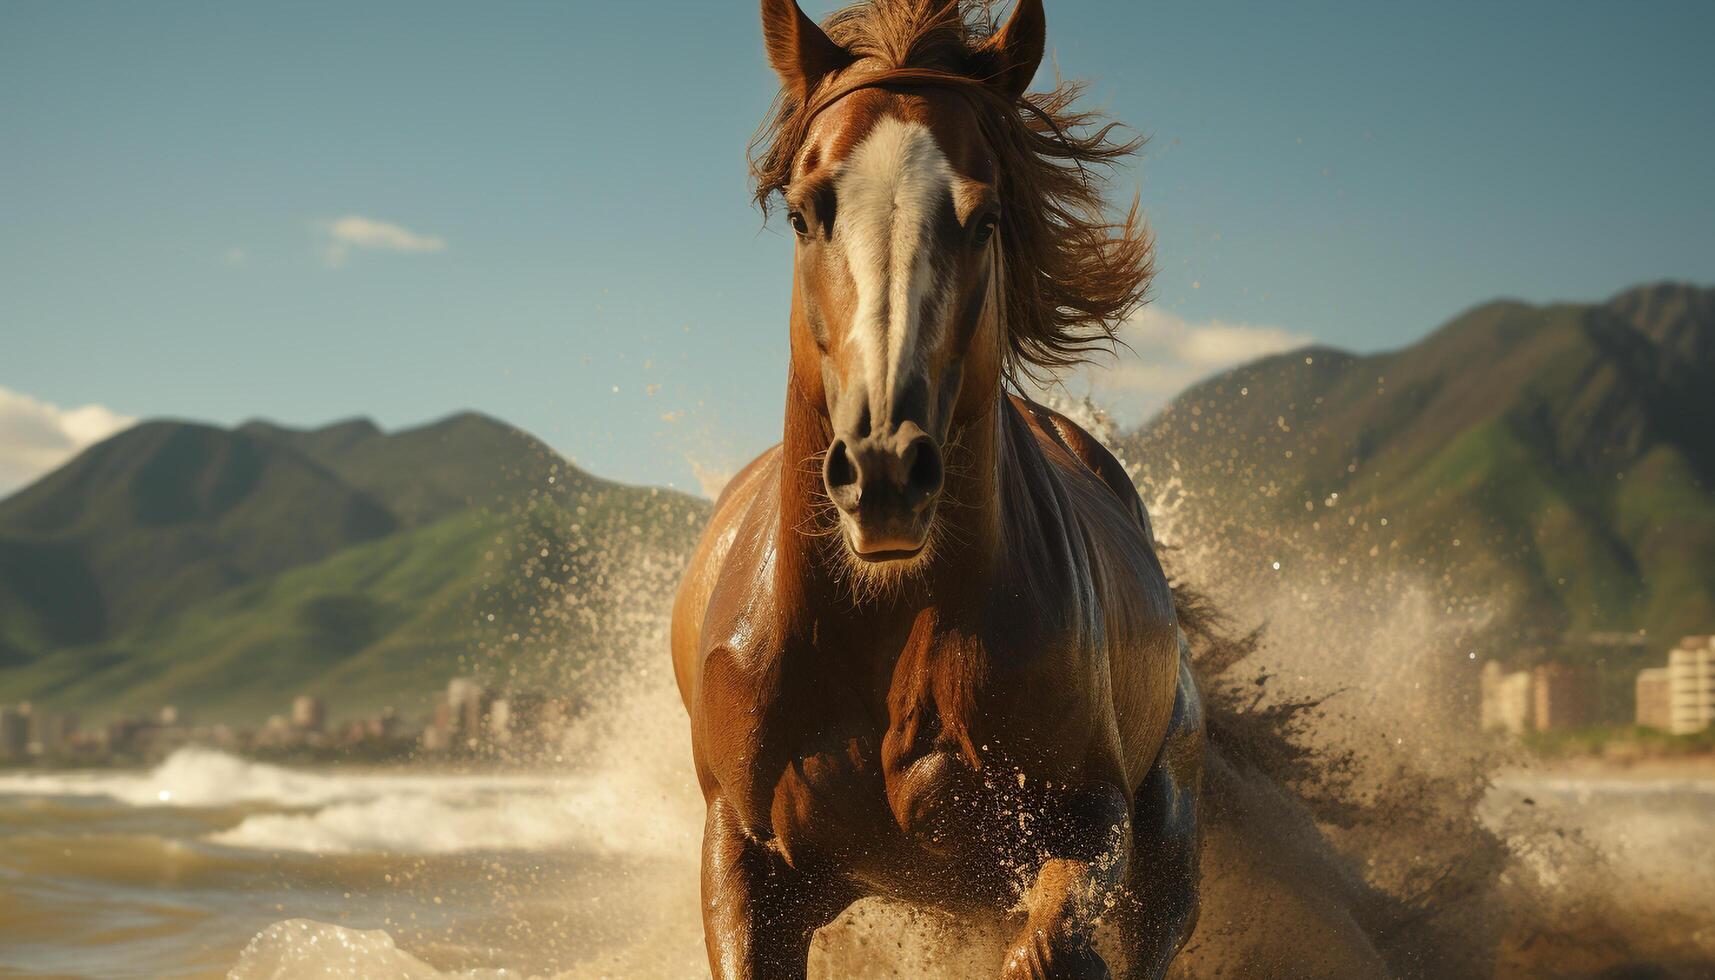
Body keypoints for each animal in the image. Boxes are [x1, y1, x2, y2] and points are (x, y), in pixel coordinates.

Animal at [672, 3, 1207, 974]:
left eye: (984, 216)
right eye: (804, 214)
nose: (884, 470)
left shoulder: (1084, 828)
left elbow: (1051, 947)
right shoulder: (738, 856)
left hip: (1168, 839)